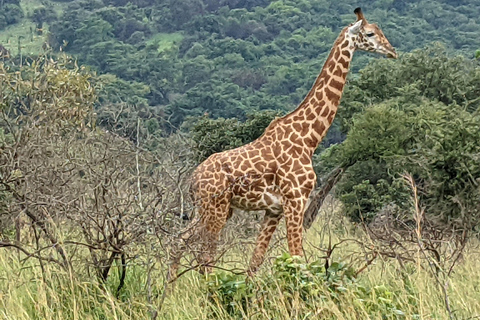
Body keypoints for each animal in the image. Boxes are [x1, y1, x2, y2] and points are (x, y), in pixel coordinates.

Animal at [169, 6, 398, 278]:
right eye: (370, 33)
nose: (392, 51)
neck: (308, 138)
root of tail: (192, 180)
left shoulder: (274, 209)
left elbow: (256, 261)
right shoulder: (296, 200)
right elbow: (298, 257)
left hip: (211, 209)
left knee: (180, 240)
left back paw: (169, 287)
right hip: (215, 208)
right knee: (205, 256)